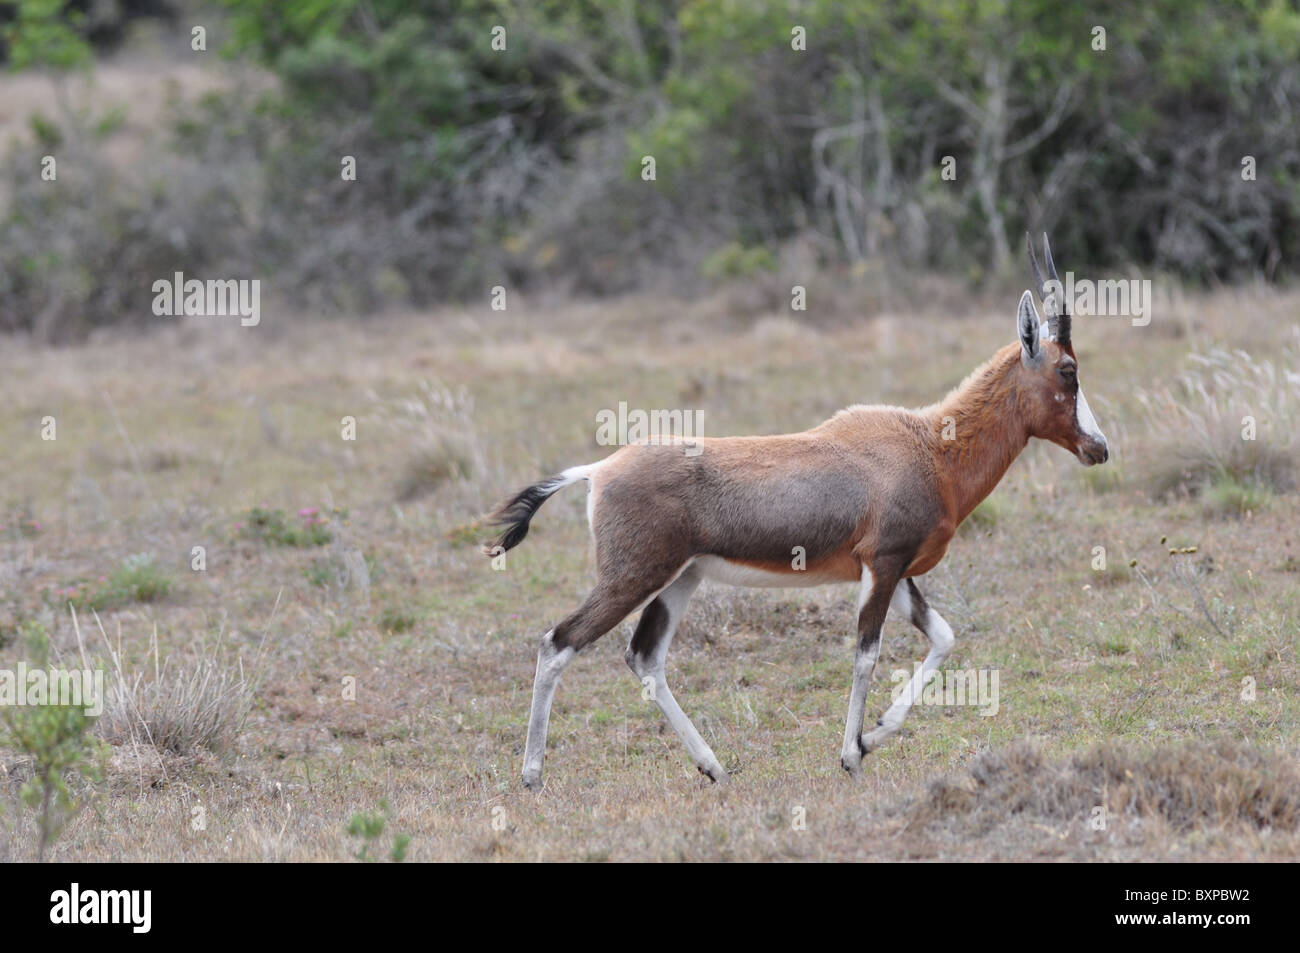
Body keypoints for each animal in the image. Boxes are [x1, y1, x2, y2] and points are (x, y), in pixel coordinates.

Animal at [488, 234, 1107, 785]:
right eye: (1068, 371)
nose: (1098, 448)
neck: (931, 444)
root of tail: (598, 471)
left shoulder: (895, 572)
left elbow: (944, 638)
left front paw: (872, 736)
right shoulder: (883, 565)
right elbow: (866, 653)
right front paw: (853, 754)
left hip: (680, 579)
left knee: (644, 657)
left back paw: (714, 768)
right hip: (632, 577)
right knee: (559, 642)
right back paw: (533, 776)